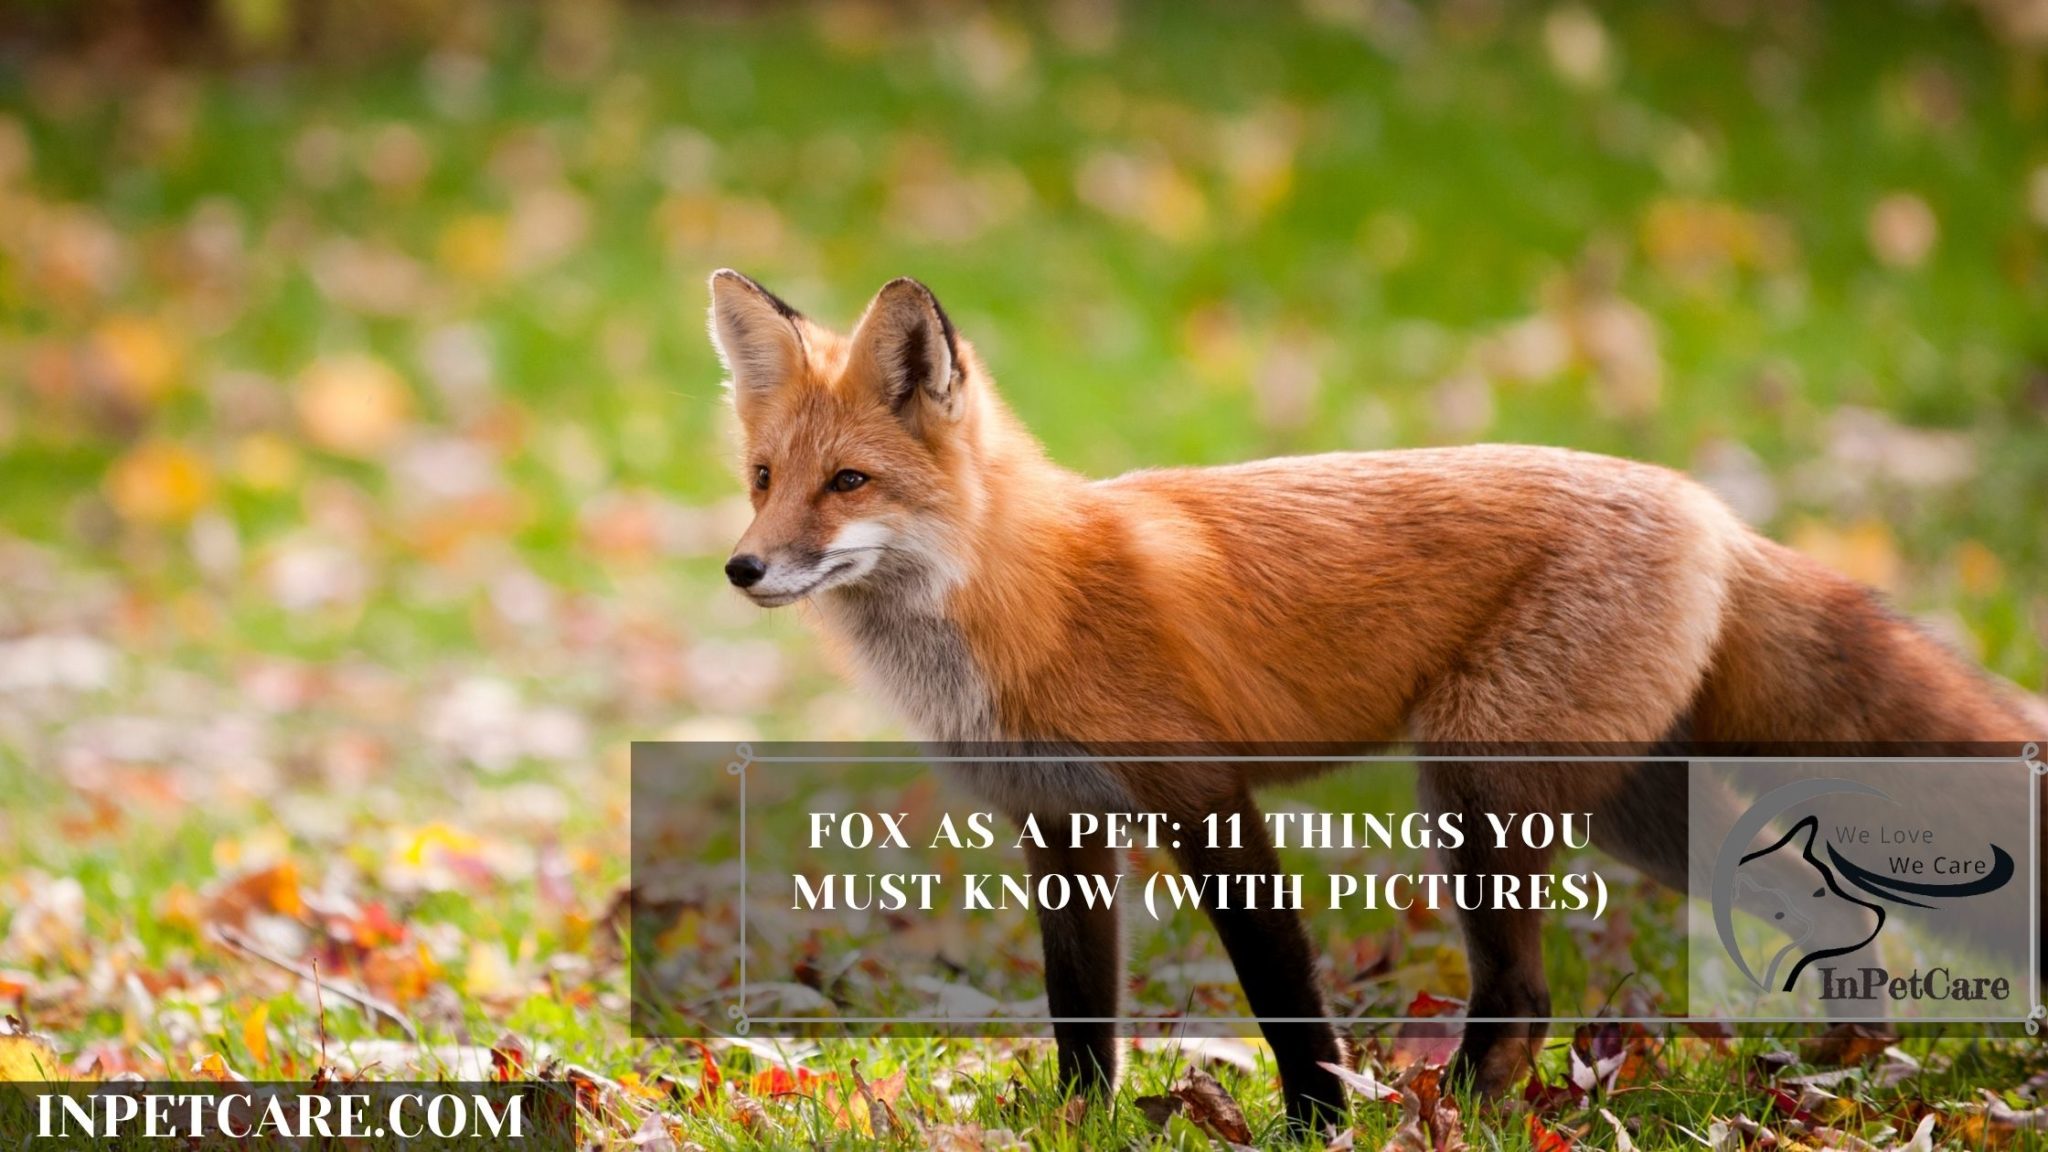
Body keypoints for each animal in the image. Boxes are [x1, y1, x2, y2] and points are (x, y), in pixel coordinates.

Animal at [709, 268, 2048, 1130]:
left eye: (847, 482)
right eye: (765, 478)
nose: (742, 569)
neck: (1020, 597)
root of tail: (1707, 507)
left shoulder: (1204, 798)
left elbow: (1282, 996)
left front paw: (1316, 1121)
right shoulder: (1062, 829)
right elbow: (1078, 1014)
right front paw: (1076, 1125)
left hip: (1475, 790)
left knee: (1524, 993)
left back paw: (1447, 1111)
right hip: (1618, 810)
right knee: (1803, 906)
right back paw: (1844, 1064)